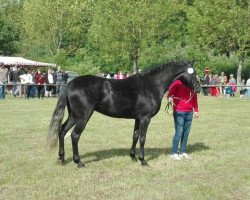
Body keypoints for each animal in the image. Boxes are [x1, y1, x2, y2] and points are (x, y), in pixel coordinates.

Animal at [46, 61, 199, 167]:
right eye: (193, 73)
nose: (198, 87)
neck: (151, 85)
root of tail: (70, 84)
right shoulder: (145, 118)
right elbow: (142, 137)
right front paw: (143, 160)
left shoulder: (138, 118)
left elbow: (135, 136)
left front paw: (133, 157)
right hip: (83, 117)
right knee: (74, 135)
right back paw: (78, 162)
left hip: (73, 116)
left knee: (62, 131)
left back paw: (61, 158)